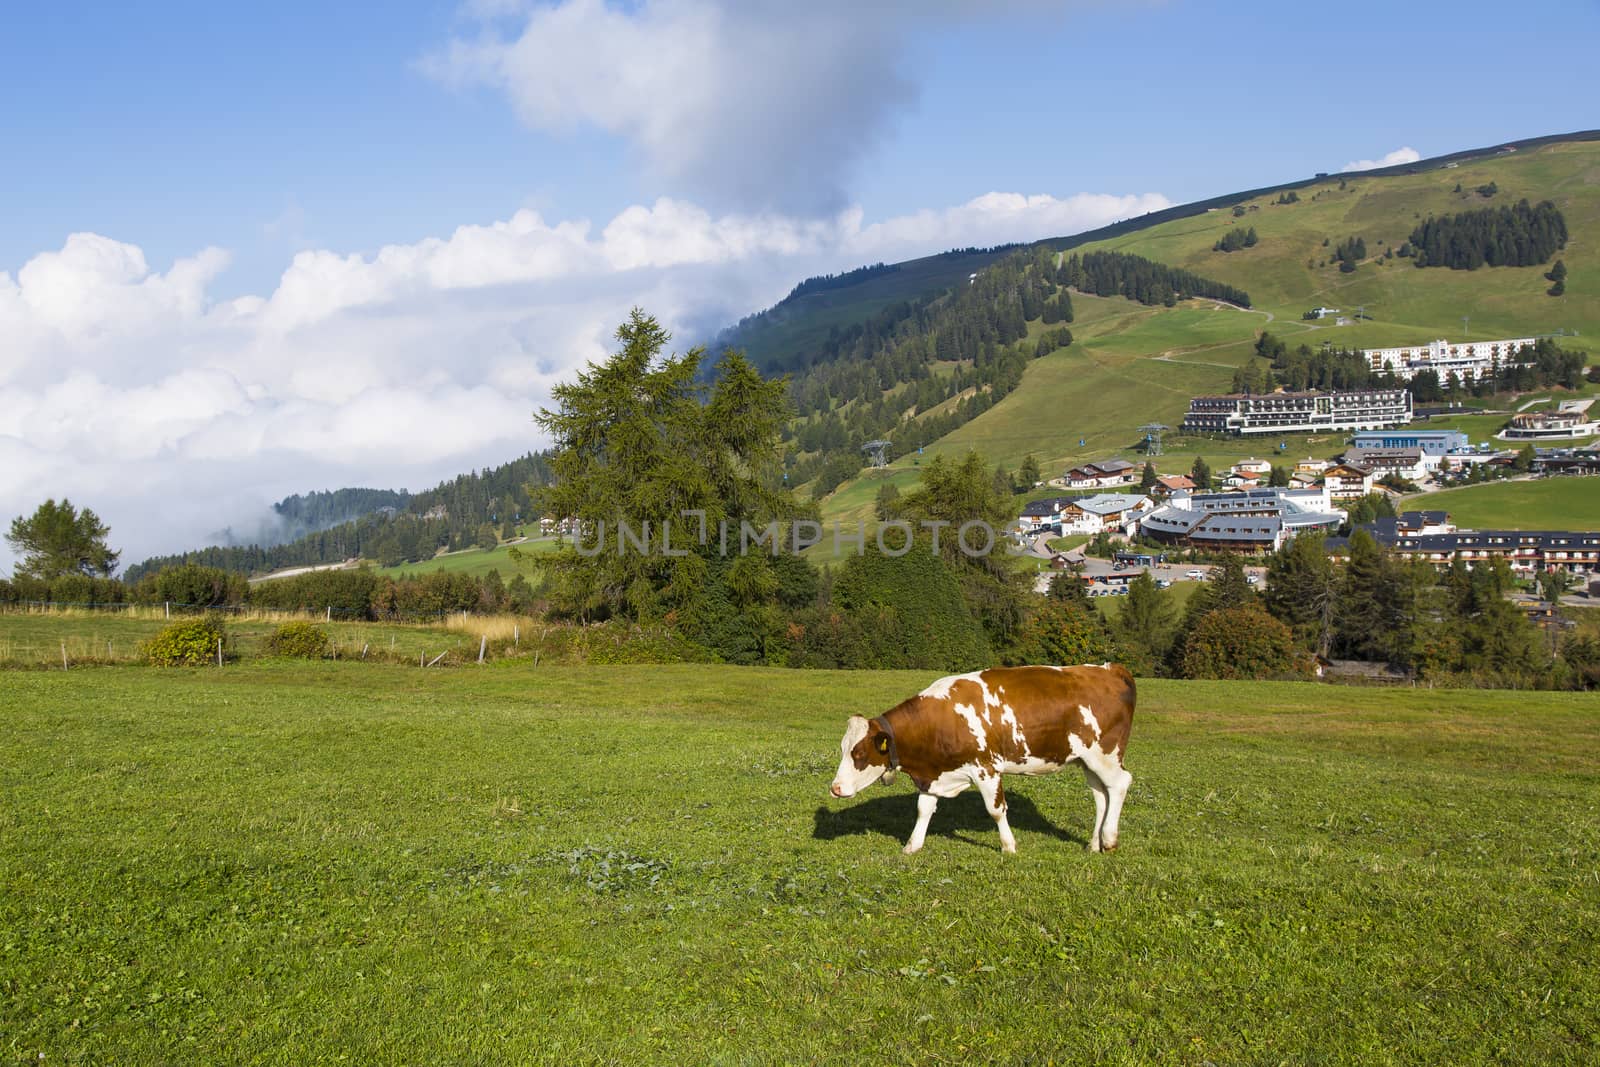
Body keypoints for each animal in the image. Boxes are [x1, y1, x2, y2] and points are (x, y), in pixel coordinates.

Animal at [832, 662, 1132, 857]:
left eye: (858, 753)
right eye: (843, 748)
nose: (835, 788)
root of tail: (1110, 669)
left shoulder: (986, 768)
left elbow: (996, 810)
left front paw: (1009, 846)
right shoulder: (935, 774)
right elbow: (923, 809)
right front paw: (912, 845)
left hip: (1105, 754)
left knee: (1120, 784)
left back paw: (1110, 839)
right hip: (1088, 761)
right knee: (1101, 795)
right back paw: (1094, 844)